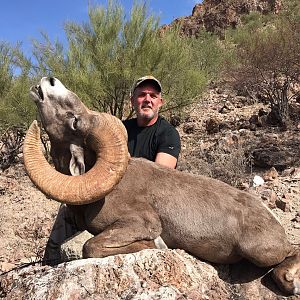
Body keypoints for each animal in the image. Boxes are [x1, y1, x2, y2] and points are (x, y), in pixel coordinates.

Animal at [24, 77, 300, 296]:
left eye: (75, 122)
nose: (49, 82)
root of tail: (270, 218)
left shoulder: (139, 223)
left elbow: (89, 246)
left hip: (260, 250)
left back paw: (289, 282)